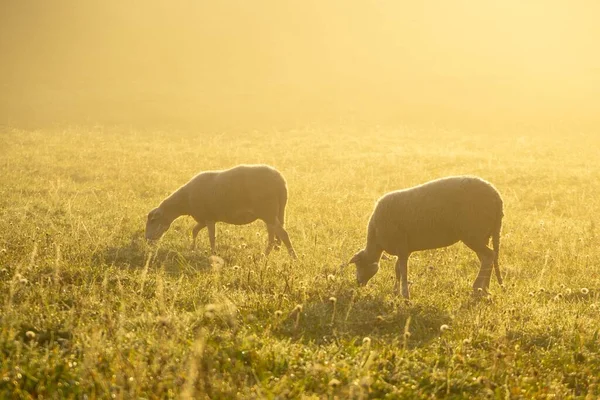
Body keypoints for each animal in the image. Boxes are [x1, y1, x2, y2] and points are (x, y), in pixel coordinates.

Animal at [145, 164, 296, 258]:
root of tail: (281, 181)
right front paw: (192, 248)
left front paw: (213, 253)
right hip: (273, 214)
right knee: (273, 236)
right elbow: (194, 231)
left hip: (268, 211)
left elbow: (211, 237)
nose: (147, 240)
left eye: (153, 221)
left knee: (283, 234)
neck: (185, 200)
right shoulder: (204, 218)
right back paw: (266, 255)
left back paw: (292, 257)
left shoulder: (209, 218)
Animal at [344, 177, 504, 298]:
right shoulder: (404, 249)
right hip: (483, 235)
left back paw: (477, 288)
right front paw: (396, 292)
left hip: (474, 234)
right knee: (488, 258)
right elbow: (397, 270)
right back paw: (484, 289)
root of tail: (497, 197)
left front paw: (405, 295)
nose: (358, 283)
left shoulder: (401, 247)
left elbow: (403, 271)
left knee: (489, 256)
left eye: (358, 264)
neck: (376, 238)